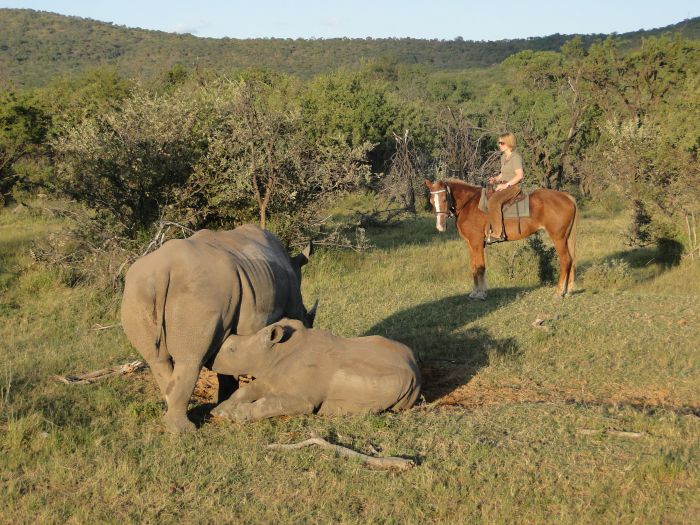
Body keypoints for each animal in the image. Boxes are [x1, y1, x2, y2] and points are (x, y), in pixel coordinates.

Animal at [122, 223, 314, 432]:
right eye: (307, 315)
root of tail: (163, 271)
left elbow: (227, 363)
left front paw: (222, 403)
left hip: (137, 292)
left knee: (157, 360)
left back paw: (173, 423)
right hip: (199, 293)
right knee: (191, 360)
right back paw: (185, 431)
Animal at [209, 318, 422, 420]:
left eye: (231, 350)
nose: (210, 359)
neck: (275, 352)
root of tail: (416, 365)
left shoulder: (303, 398)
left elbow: (268, 404)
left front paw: (234, 415)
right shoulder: (272, 376)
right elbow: (248, 390)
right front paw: (219, 410)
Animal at [424, 178, 576, 296]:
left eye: (445, 199)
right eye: (431, 200)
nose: (440, 226)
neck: (469, 204)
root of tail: (568, 197)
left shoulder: (477, 243)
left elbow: (480, 267)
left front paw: (481, 293)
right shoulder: (470, 244)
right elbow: (474, 267)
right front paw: (475, 292)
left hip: (558, 238)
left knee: (565, 260)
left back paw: (559, 291)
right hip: (565, 238)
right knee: (571, 260)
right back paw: (568, 290)